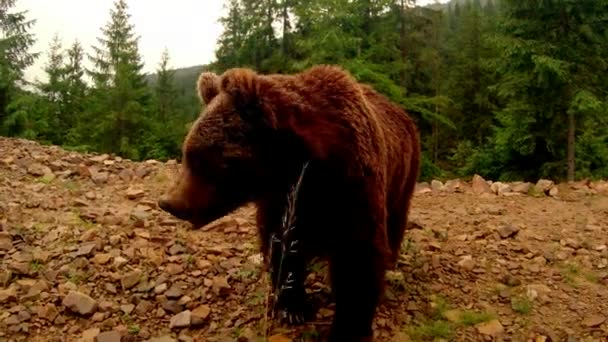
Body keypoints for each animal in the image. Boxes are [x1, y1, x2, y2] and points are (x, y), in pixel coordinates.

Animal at [158, 65, 418, 342]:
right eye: (187, 152)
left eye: (203, 159)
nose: (171, 202)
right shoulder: (282, 202)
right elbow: (283, 247)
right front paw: (292, 308)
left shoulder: (352, 185)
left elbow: (358, 258)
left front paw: (348, 328)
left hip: (402, 174)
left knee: (395, 219)